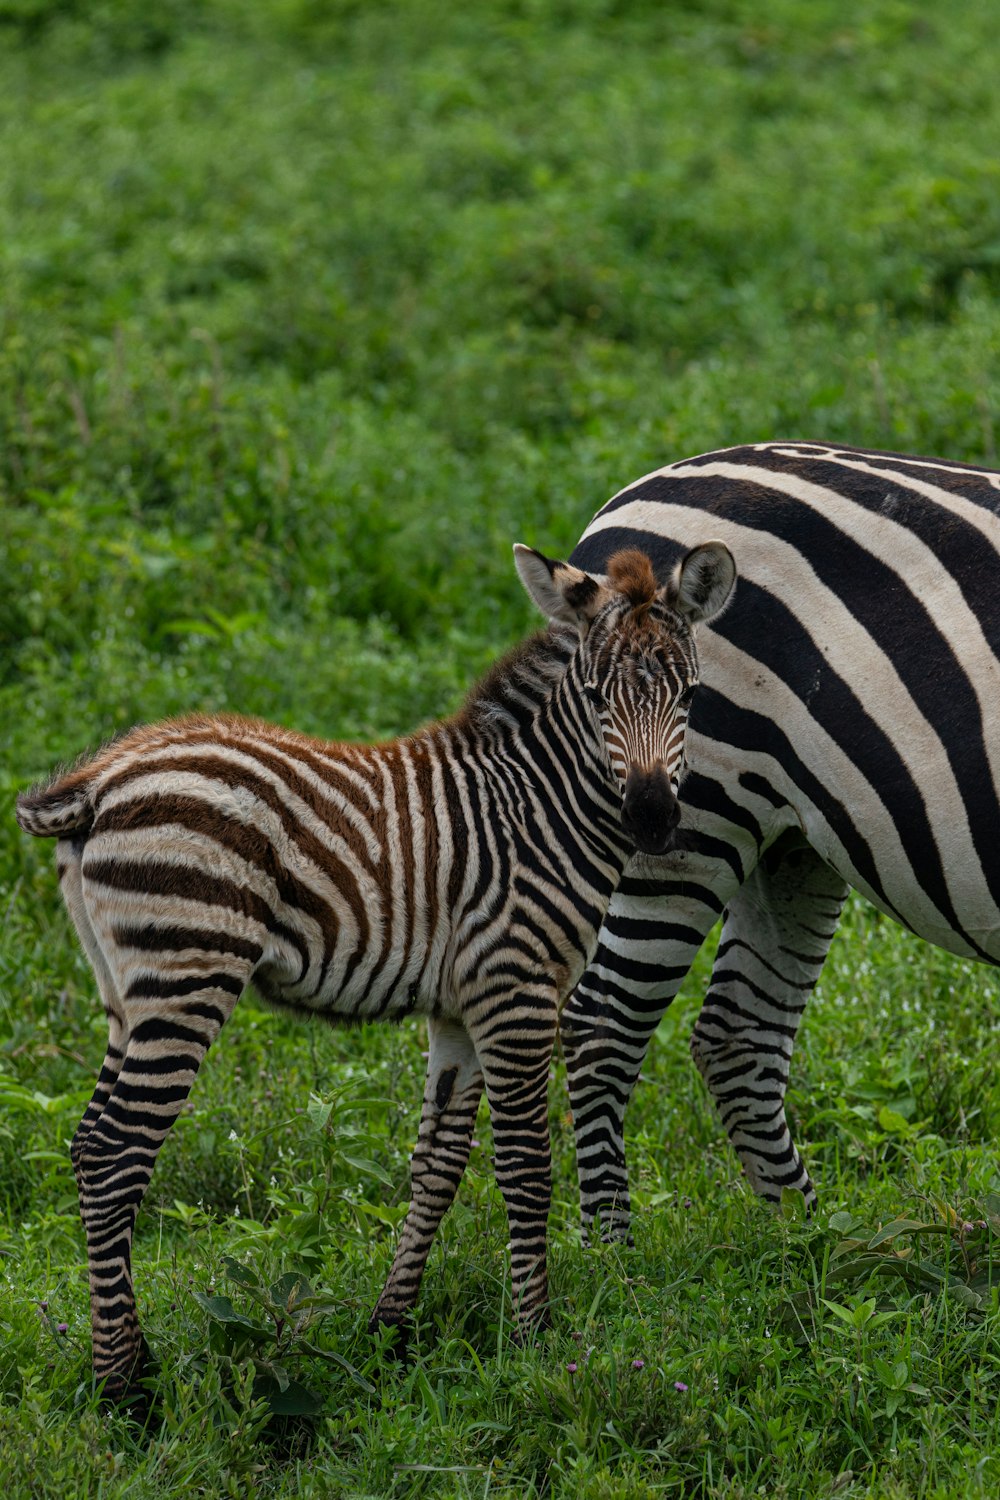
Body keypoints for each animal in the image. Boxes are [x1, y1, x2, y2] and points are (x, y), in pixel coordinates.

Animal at [15, 543, 734, 1404]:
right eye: (597, 698)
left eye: (690, 694)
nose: (654, 820)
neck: (536, 806)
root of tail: (101, 779)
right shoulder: (516, 988)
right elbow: (527, 1165)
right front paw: (535, 1336)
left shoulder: (459, 1010)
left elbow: (437, 1167)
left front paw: (391, 1331)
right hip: (188, 972)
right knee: (115, 1151)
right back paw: (127, 1389)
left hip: (127, 994)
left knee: (88, 1143)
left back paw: (130, 1362)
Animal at [554, 438, 1000, 1236]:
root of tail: (628, 498)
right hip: (687, 819)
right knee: (603, 1025)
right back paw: (614, 1250)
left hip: (789, 839)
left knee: (739, 1034)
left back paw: (806, 1242)